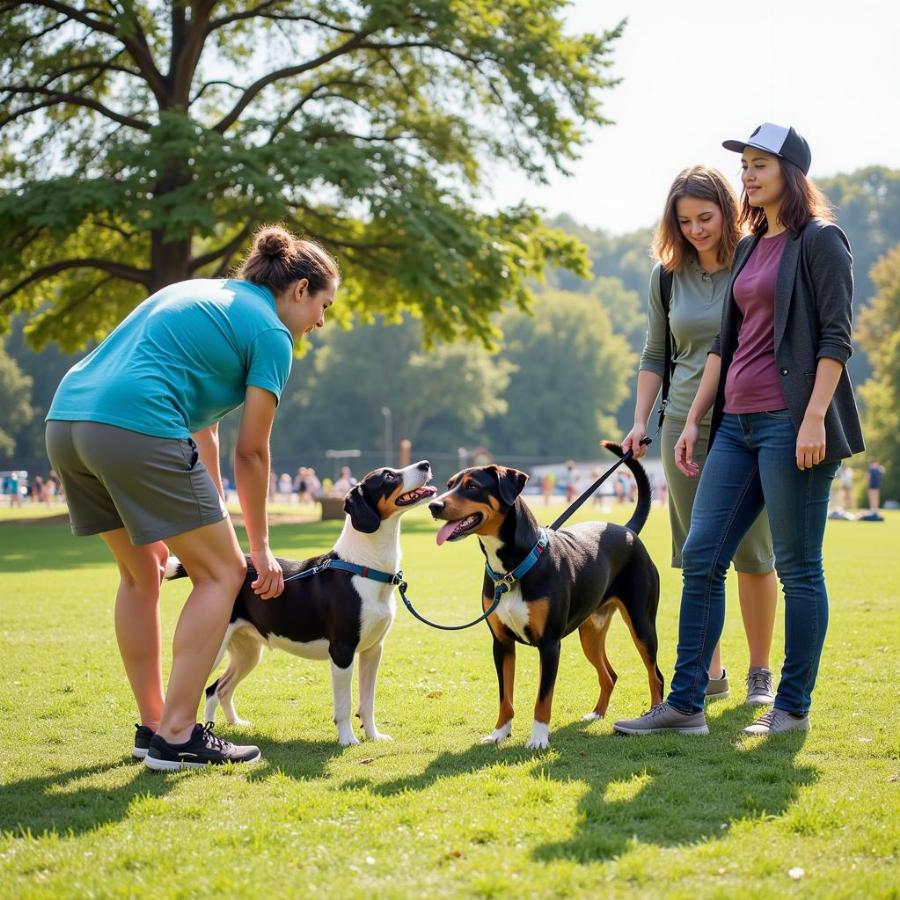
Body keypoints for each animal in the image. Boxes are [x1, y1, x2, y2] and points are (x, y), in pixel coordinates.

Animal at [170, 464, 440, 744]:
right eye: (388, 476)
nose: (425, 464)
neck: (364, 566)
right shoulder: (342, 651)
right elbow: (344, 705)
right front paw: (348, 740)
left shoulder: (373, 650)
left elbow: (368, 702)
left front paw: (374, 736)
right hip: (213, 647)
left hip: (247, 652)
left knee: (217, 689)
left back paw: (232, 724)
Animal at [426, 446, 664, 748]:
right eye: (449, 485)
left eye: (472, 486)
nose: (434, 506)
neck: (513, 568)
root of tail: (628, 530)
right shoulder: (501, 644)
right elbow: (505, 696)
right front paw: (500, 732)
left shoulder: (549, 645)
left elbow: (543, 698)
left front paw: (538, 739)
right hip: (590, 632)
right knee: (609, 675)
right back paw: (596, 713)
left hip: (642, 625)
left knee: (655, 675)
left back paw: (655, 714)